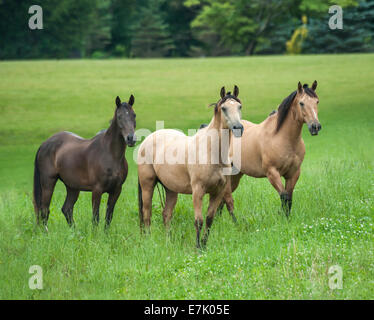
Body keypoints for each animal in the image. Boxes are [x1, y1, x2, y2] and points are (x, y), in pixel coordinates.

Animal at [32, 94, 137, 229]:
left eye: (134, 115)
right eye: (119, 116)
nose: (131, 139)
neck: (111, 155)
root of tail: (45, 144)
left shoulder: (116, 190)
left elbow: (108, 217)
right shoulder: (97, 190)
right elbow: (95, 218)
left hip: (72, 187)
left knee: (67, 209)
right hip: (48, 182)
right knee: (44, 210)